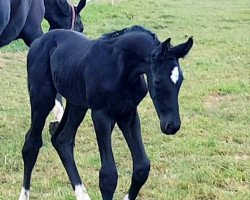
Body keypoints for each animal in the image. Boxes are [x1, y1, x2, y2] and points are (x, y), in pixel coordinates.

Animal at [20, 25, 194, 199]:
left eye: (181, 80)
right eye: (157, 81)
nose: (172, 126)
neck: (119, 67)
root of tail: (38, 41)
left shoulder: (128, 114)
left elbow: (142, 167)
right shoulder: (101, 114)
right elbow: (108, 175)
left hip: (77, 104)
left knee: (62, 139)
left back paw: (82, 195)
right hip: (42, 98)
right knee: (31, 144)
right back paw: (24, 194)